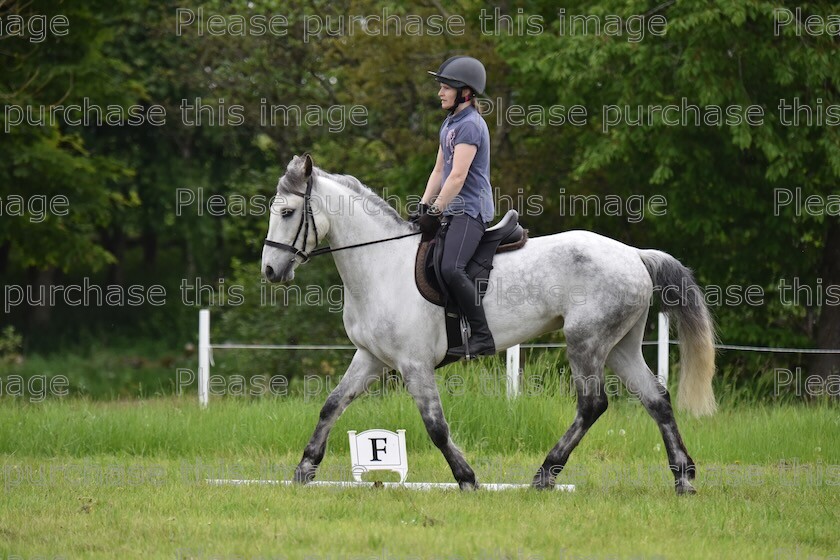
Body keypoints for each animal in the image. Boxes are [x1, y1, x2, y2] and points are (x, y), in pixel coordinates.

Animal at [262, 154, 716, 494]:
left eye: (287, 212)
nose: (270, 271)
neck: (380, 264)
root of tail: (634, 254)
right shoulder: (371, 358)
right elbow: (332, 404)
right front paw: (304, 469)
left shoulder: (414, 364)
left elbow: (435, 426)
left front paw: (467, 478)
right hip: (619, 346)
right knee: (656, 399)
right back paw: (683, 478)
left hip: (584, 341)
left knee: (592, 404)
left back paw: (545, 475)